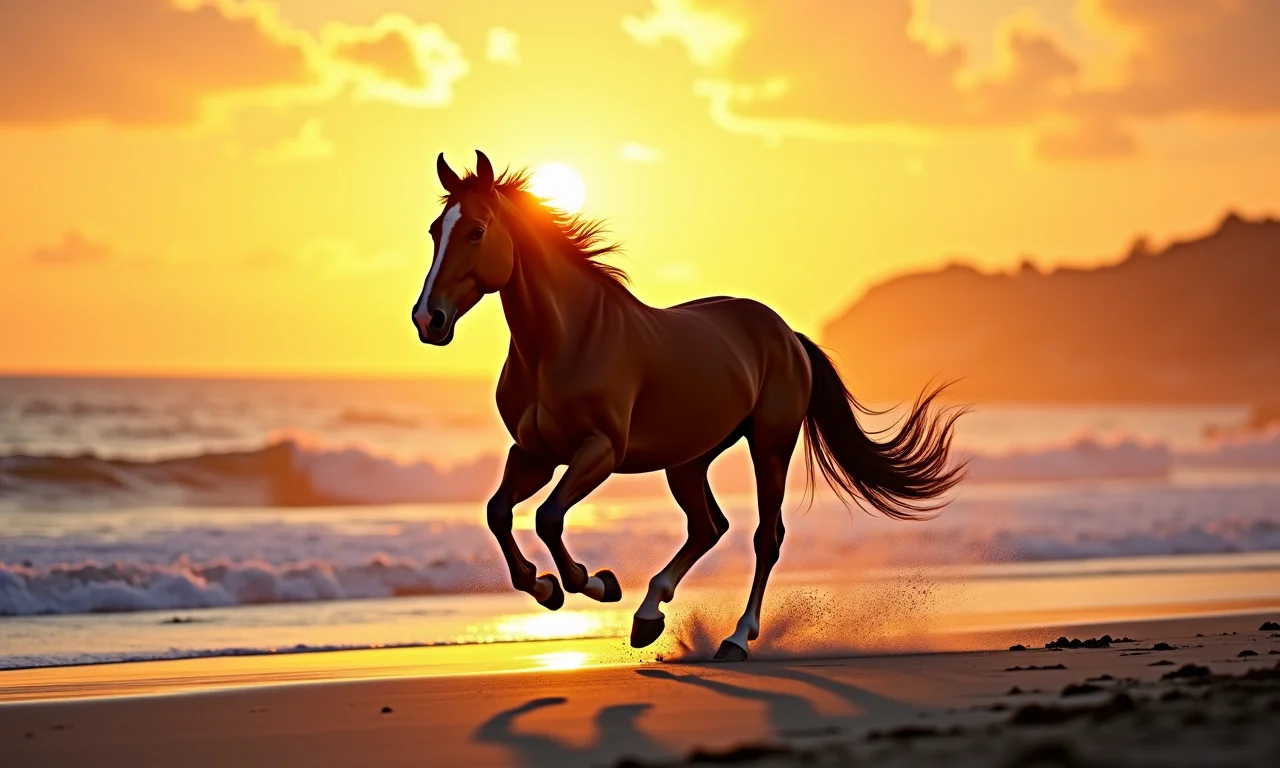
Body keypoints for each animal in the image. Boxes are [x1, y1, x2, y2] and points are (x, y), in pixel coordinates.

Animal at [411, 151, 965, 661]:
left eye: (476, 231)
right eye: (435, 230)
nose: (427, 319)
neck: (566, 341)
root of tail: (786, 334)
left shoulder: (600, 451)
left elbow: (548, 517)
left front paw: (594, 582)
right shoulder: (535, 454)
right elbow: (498, 513)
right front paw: (547, 587)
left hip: (770, 445)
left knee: (765, 536)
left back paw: (735, 639)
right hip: (688, 460)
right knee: (708, 527)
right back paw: (647, 617)